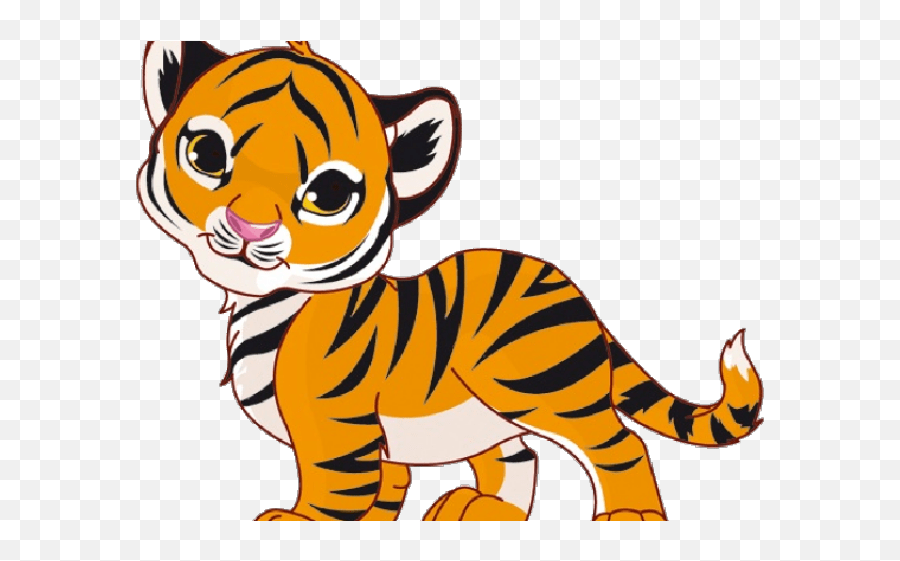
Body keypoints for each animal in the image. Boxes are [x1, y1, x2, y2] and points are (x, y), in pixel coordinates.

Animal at [137, 40, 763, 521]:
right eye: (206, 154)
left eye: (327, 194)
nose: (250, 225)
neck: (266, 303)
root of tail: (569, 287)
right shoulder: (383, 444)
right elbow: (388, 484)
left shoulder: (337, 426)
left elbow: (336, 484)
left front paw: (300, 525)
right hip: (488, 414)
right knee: (519, 457)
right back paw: (485, 512)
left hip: (538, 384)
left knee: (618, 443)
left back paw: (629, 518)